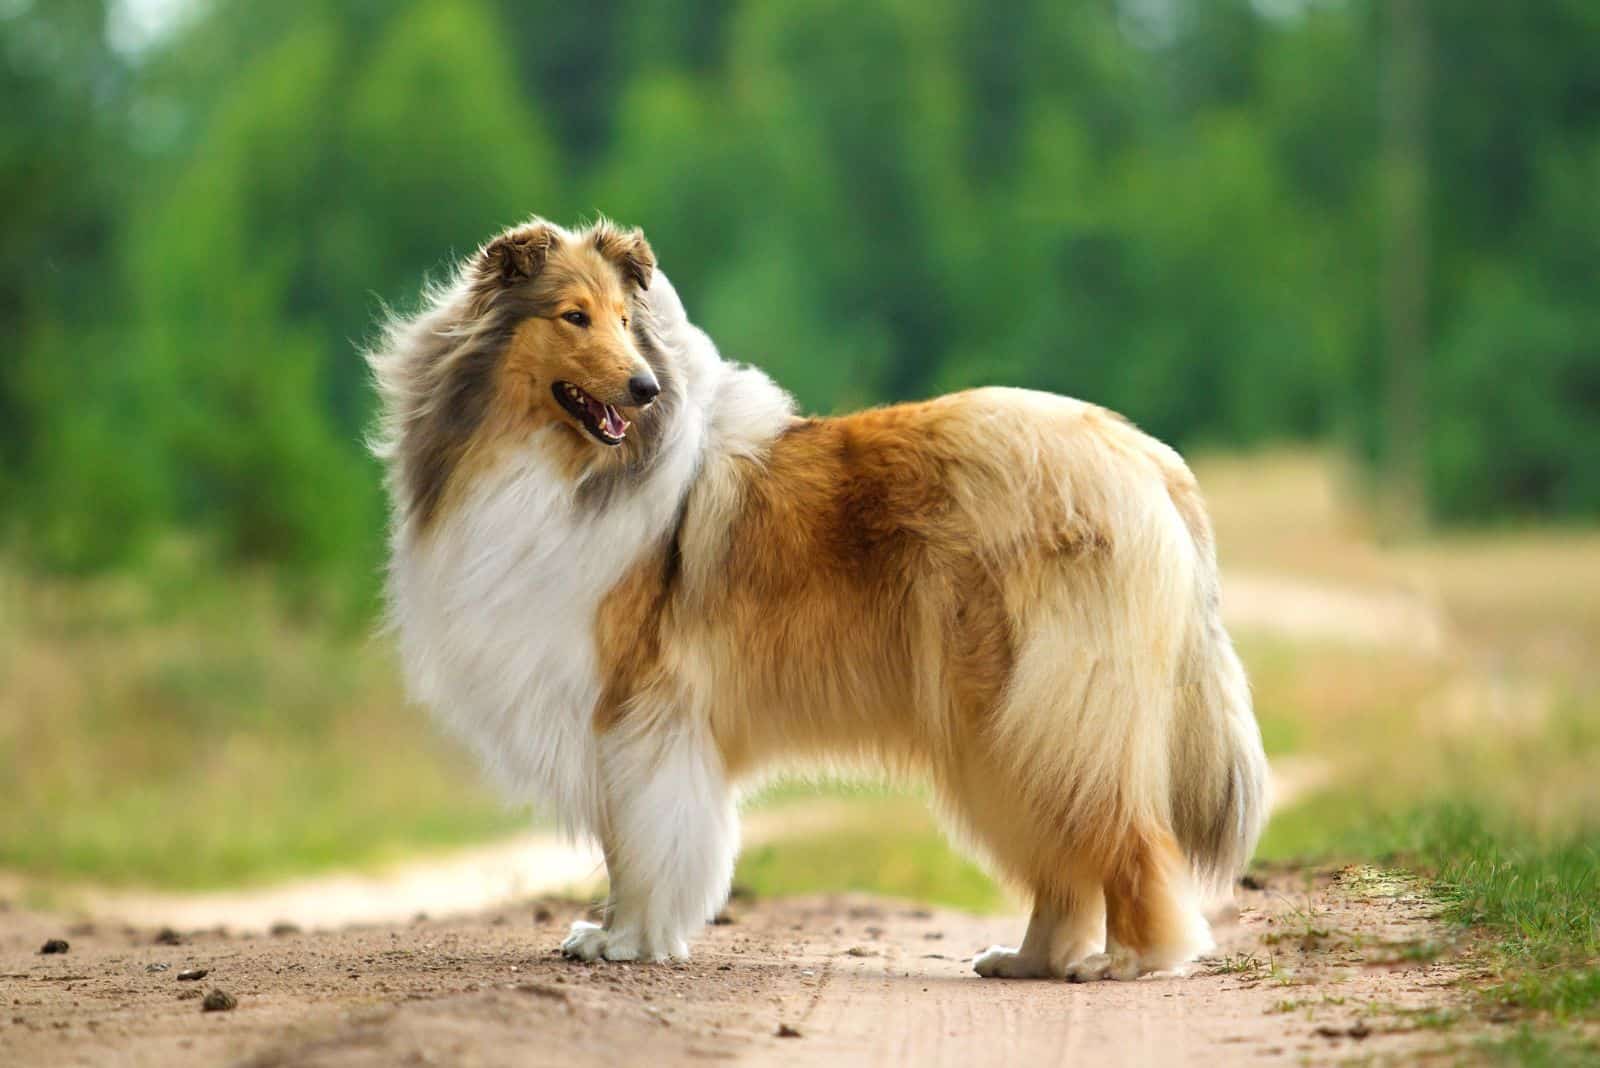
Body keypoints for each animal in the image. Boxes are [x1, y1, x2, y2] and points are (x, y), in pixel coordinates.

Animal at [368, 219, 1267, 984]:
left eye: (626, 319)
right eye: (574, 317)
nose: (646, 387)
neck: (552, 464)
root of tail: (1144, 456)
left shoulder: (639, 711)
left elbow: (645, 842)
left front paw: (629, 941)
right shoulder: (619, 721)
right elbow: (626, 844)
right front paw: (615, 933)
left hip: (1040, 713)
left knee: (1124, 839)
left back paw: (1130, 960)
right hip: (1006, 726)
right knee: (1063, 862)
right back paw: (1026, 960)